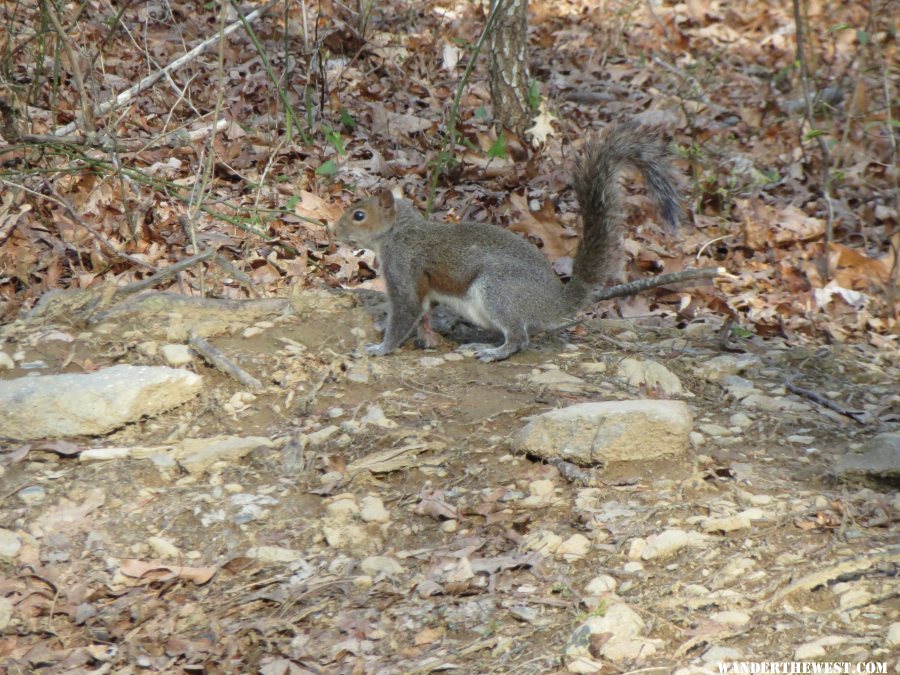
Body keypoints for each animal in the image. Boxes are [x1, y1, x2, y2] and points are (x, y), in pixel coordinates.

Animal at [334, 121, 680, 364]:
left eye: (359, 215)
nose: (334, 230)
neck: (399, 232)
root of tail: (554, 302)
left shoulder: (404, 266)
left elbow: (405, 310)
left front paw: (381, 347)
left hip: (498, 291)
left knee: (519, 337)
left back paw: (496, 352)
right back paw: (483, 343)